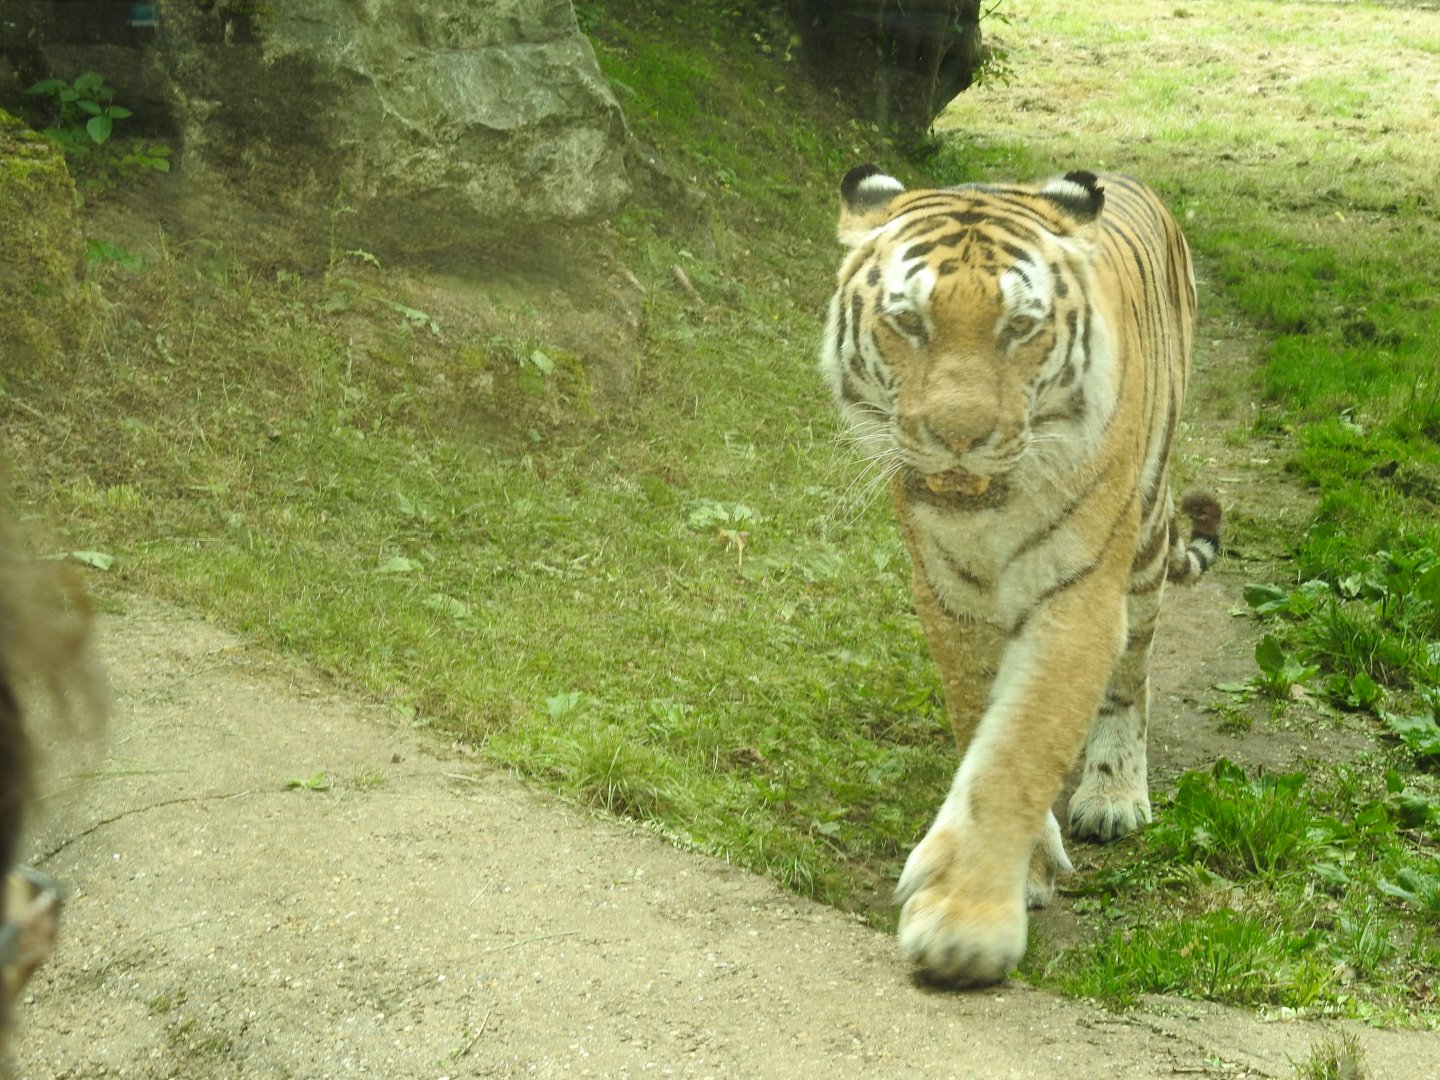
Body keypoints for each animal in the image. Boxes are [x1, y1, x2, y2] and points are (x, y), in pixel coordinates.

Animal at [819, 164, 1221, 986]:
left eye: (1019, 327)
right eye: (909, 322)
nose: (959, 437)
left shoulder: (1079, 601)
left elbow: (1018, 750)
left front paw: (965, 923)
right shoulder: (949, 598)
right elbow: (984, 725)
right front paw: (1027, 867)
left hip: (1144, 548)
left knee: (1133, 679)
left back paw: (1114, 792)